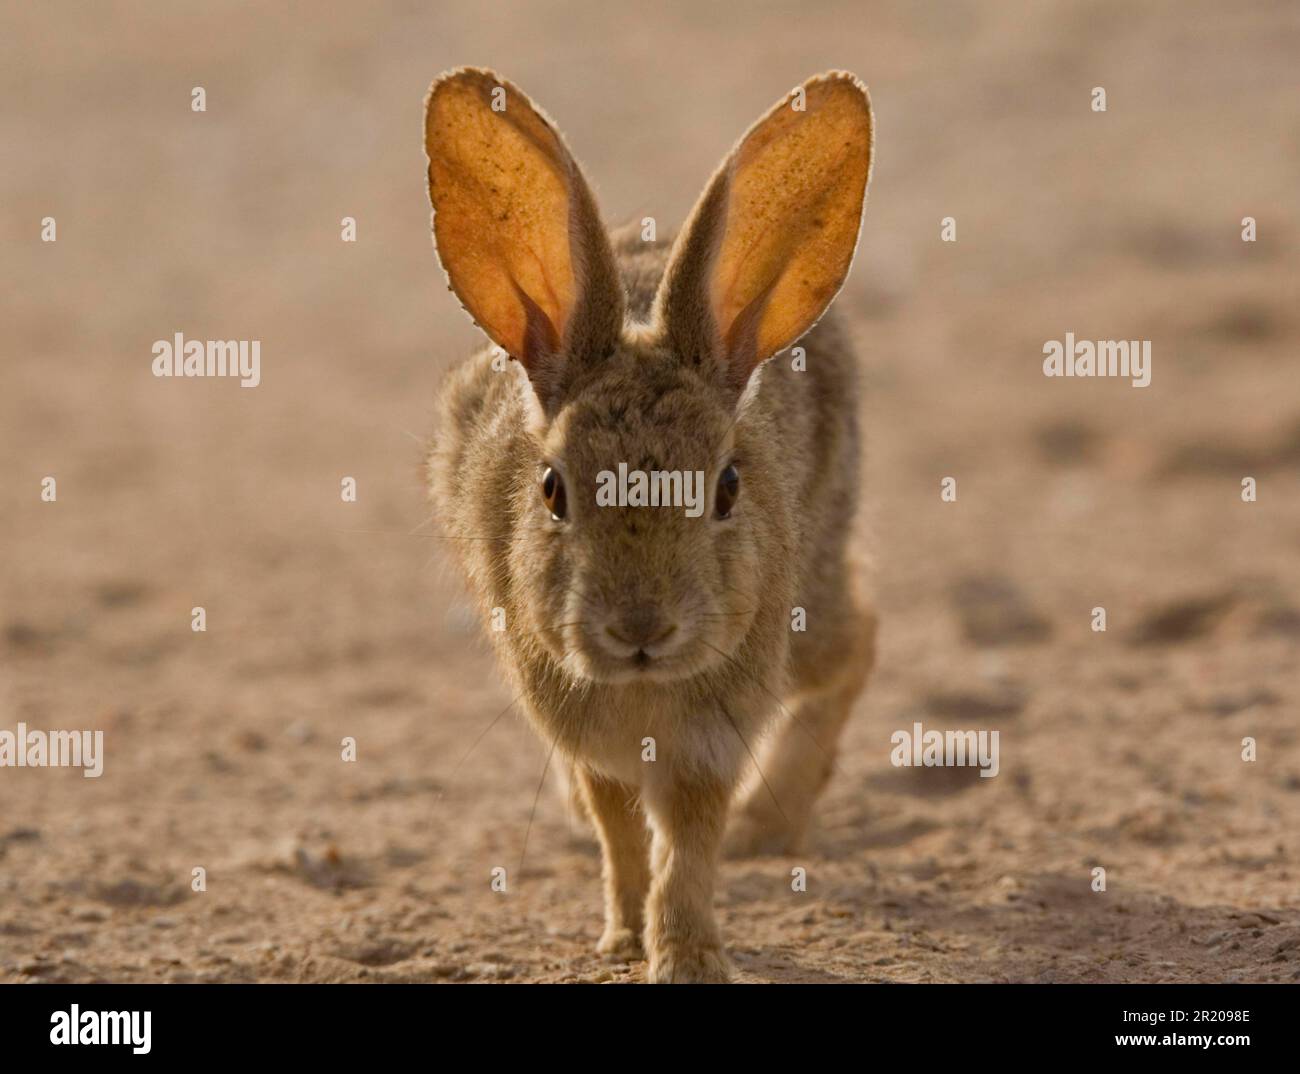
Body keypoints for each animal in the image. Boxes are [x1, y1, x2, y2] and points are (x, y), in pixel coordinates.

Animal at [421, 66, 878, 977]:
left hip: (806, 610)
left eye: (728, 487)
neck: (640, 689)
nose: (640, 627)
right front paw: (624, 936)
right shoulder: (584, 727)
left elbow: (689, 846)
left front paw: (688, 957)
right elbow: (619, 832)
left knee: (859, 638)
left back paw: (769, 824)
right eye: (553, 489)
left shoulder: (712, 734)